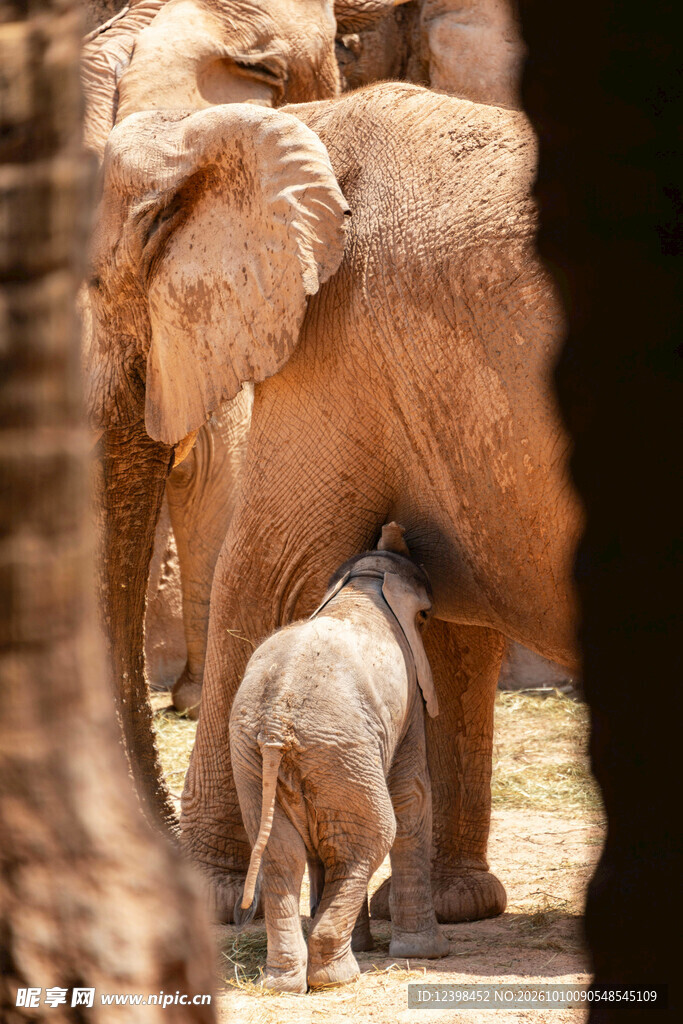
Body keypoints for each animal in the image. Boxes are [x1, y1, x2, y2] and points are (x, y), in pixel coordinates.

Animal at [86, 80, 579, 915]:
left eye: (90, 286)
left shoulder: (338, 335)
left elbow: (268, 574)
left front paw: (217, 895)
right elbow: (445, 618)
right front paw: (447, 907)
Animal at [230, 523, 448, 991]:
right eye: (424, 619)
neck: (365, 583)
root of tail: (276, 718)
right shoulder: (409, 702)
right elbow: (413, 795)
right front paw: (429, 953)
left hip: (264, 757)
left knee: (281, 851)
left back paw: (285, 983)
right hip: (341, 749)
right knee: (369, 838)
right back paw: (337, 977)